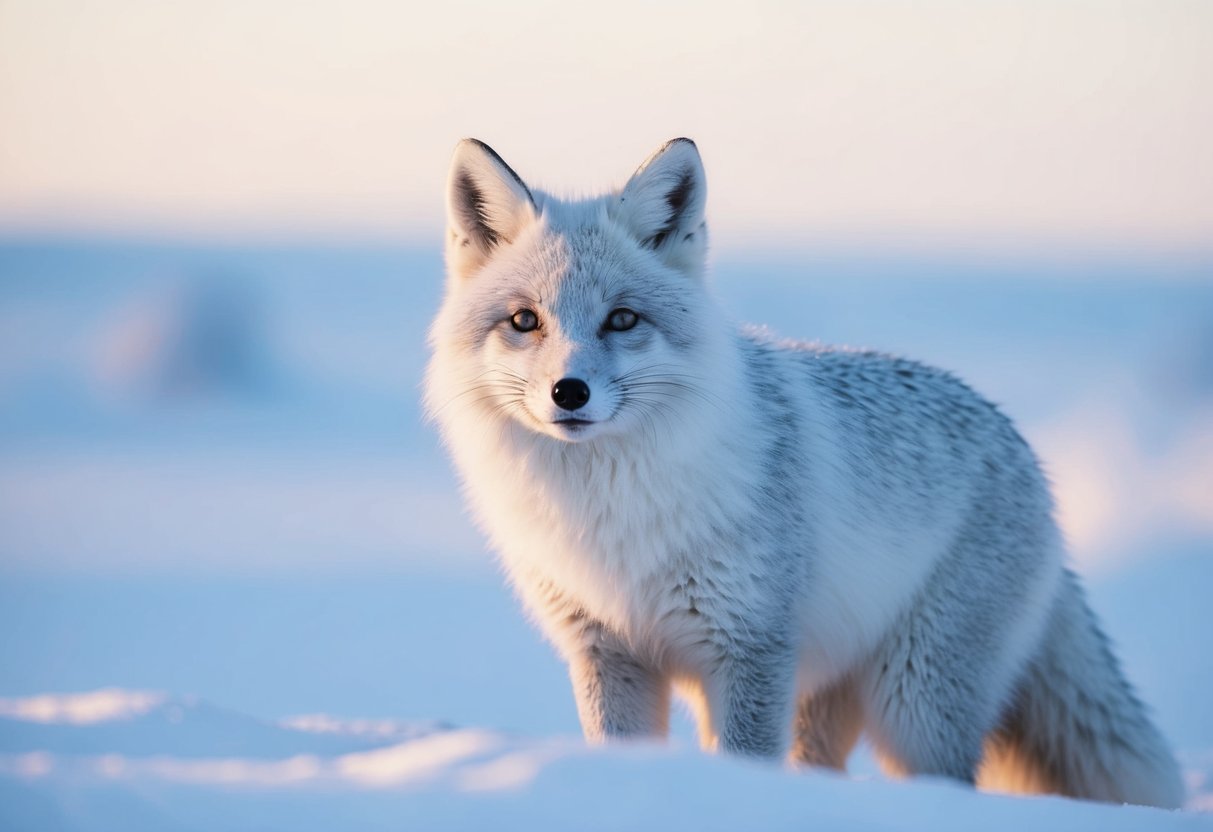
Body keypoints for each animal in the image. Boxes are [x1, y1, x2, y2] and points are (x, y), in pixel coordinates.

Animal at [424, 137, 1184, 808]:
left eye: (622, 319)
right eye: (525, 320)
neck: (611, 515)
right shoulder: (609, 653)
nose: (569, 392)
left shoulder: (748, 648)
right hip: (828, 699)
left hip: (911, 706)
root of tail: (1020, 446)